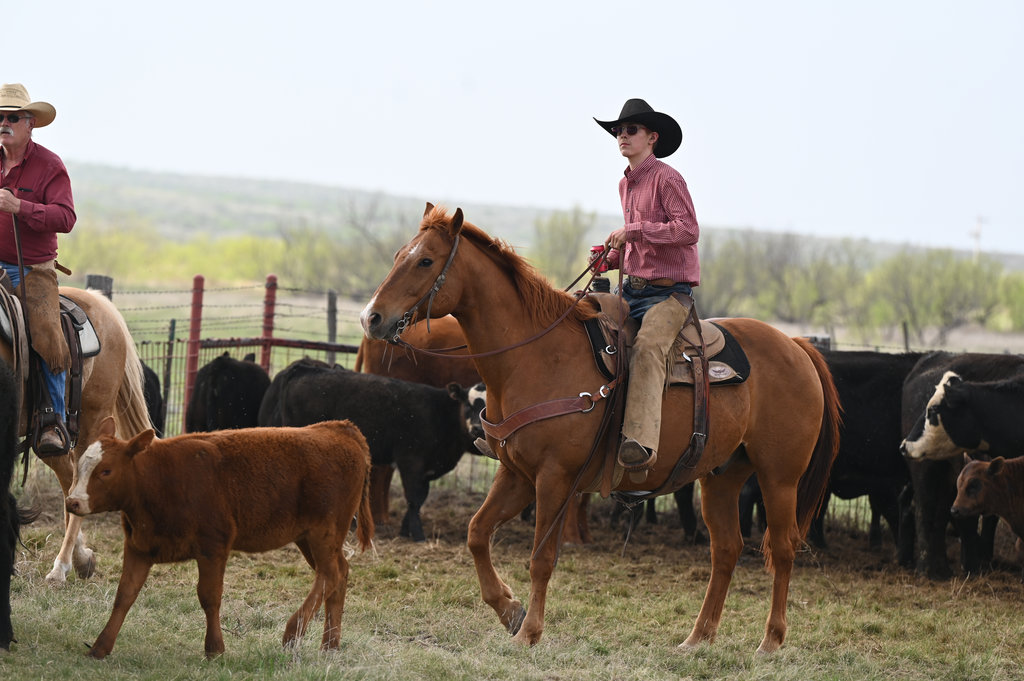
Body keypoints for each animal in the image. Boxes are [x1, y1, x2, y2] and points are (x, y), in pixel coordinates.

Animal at [0, 286, 152, 587]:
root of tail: (99, 300)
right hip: (50, 440)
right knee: (69, 481)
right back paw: (81, 560)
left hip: (93, 421)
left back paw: (61, 567)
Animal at [361, 204, 841, 653]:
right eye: (399, 254)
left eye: (425, 261)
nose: (371, 318)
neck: (536, 356)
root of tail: (796, 347)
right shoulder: (516, 473)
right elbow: (477, 534)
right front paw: (510, 610)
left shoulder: (554, 478)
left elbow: (541, 558)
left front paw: (529, 632)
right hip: (721, 476)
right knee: (726, 550)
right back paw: (697, 638)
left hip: (780, 478)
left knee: (782, 549)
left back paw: (771, 641)